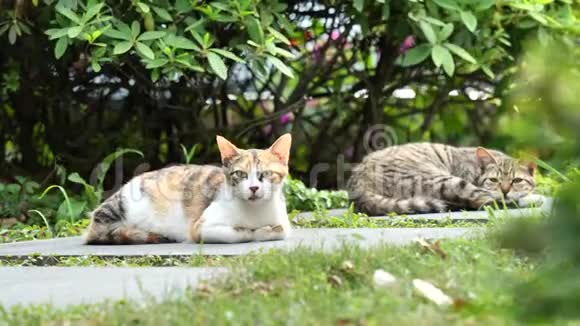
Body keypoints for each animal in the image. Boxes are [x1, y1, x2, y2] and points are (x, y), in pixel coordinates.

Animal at [84, 134, 292, 243]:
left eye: (266, 173)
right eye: (240, 174)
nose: (254, 188)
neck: (256, 213)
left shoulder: (284, 223)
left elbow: (281, 229)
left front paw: (267, 230)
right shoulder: (201, 227)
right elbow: (240, 233)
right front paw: (258, 231)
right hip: (117, 208)